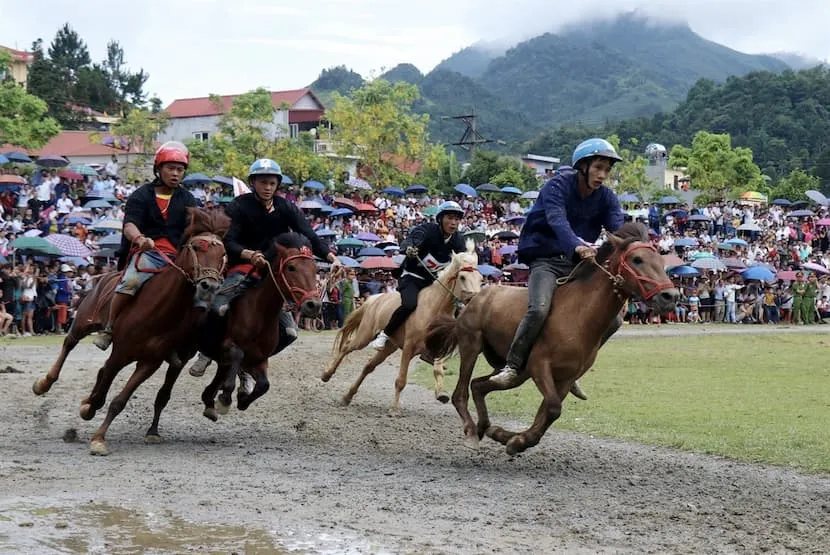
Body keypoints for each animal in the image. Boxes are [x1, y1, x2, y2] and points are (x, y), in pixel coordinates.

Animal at [31, 208, 231, 456]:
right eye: (196, 247)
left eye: (222, 254)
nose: (209, 286)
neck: (159, 310)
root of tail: (104, 276)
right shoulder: (120, 353)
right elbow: (104, 388)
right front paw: (92, 418)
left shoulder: (150, 362)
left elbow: (121, 400)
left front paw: (99, 433)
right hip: (83, 320)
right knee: (69, 343)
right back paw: (44, 383)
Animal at [198, 231, 322, 422]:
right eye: (291, 267)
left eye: (314, 269)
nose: (313, 305)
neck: (260, 313)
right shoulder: (229, 346)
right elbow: (237, 355)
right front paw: (225, 399)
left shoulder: (259, 360)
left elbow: (264, 385)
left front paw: (242, 399)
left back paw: (210, 399)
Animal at [322, 241, 484, 414]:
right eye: (462, 277)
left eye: (481, 279)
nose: (476, 302)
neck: (434, 308)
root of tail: (373, 299)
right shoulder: (408, 347)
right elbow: (401, 380)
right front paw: (394, 409)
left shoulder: (439, 347)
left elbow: (438, 371)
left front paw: (441, 393)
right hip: (364, 336)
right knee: (347, 347)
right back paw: (327, 374)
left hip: (389, 346)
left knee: (368, 366)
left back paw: (347, 396)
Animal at [426, 222, 680, 456]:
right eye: (637, 259)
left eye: (660, 260)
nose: (670, 296)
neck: (578, 315)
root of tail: (475, 298)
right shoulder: (540, 367)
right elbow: (553, 408)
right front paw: (515, 440)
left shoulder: (565, 378)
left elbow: (546, 414)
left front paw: (509, 437)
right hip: (472, 346)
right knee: (461, 393)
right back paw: (471, 430)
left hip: (515, 372)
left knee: (479, 385)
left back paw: (484, 427)